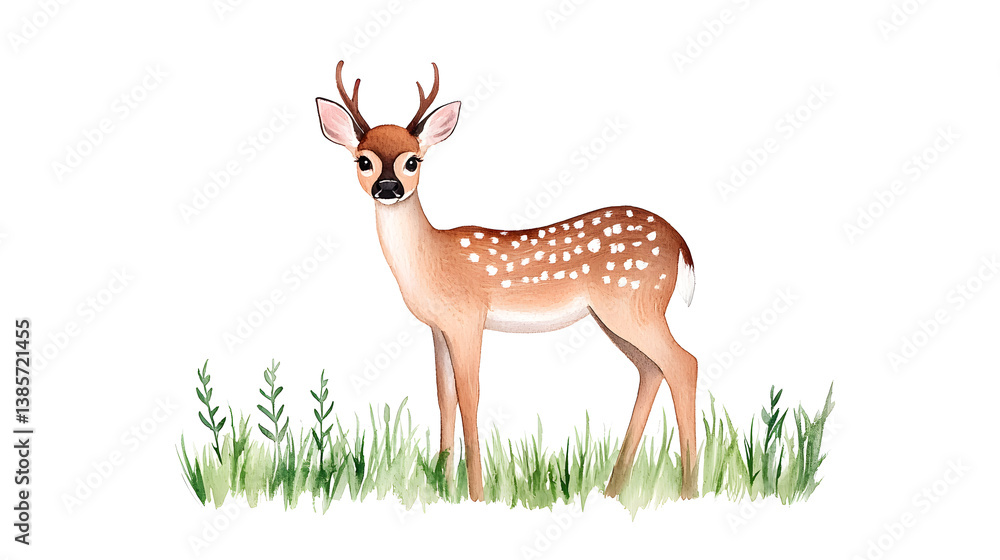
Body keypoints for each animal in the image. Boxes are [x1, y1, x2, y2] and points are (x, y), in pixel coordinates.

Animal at [315, 61, 699, 501]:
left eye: (413, 161)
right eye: (363, 161)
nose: (388, 188)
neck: (432, 258)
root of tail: (680, 242)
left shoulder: (467, 317)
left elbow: (470, 395)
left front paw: (476, 494)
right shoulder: (438, 328)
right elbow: (444, 396)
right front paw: (443, 485)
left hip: (634, 302)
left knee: (683, 363)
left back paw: (689, 490)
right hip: (614, 315)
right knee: (651, 370)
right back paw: (614, 489)